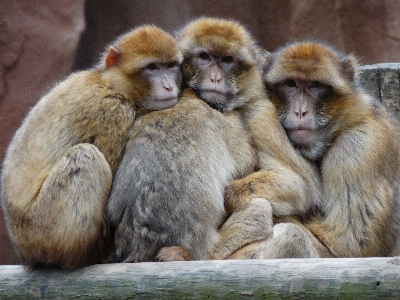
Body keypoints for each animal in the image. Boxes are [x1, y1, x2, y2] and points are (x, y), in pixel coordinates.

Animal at [0, 25, 182, 270]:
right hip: (42, 230)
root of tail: (23, 248)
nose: (169, 86)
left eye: (171, 66)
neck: (111, 83)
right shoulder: (113, 111)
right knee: (86, 156)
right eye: (152, 67)